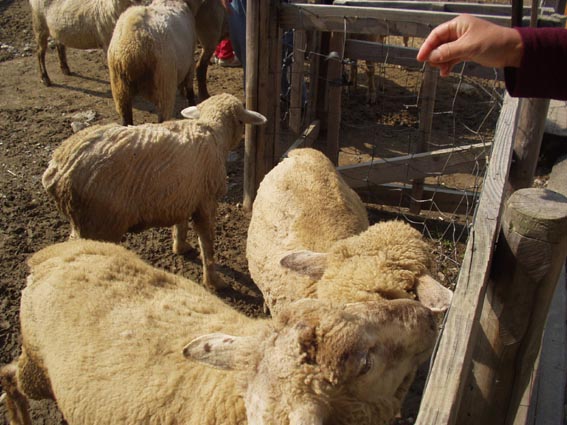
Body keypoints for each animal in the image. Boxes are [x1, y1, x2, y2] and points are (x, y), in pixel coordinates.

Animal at [42, 93, 266, 290]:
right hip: (98, 223)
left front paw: (180, 247)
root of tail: (57, 167)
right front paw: (214, 282)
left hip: (83, 223)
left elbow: (180, 225)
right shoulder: (206, 202)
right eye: (240, 123)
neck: (210, 130)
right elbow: (207, 244)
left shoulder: (182, 194)